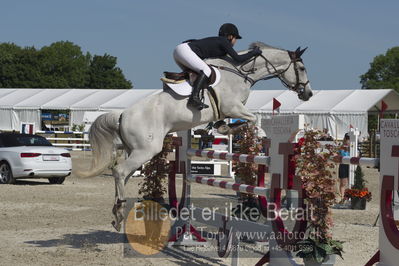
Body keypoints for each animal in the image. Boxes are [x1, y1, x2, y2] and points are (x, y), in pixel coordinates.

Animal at [79, 42, 314, 231]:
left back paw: (116, 213)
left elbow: (231, 122)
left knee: (122, 175)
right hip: (146, 150)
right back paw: (119, 212)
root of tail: (122, 115)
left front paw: (222, 127)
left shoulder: (229, 110)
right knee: (119, 171)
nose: (308, 94)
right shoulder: (233, 107)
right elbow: (253, 119)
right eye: (302, 68)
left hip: (134, 151)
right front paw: (230, 130)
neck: (240, 73)